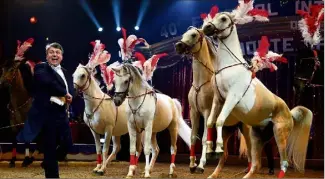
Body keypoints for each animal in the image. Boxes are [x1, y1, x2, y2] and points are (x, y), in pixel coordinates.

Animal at [202, 11, 312, 178]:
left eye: (224, 18)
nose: (206, 28)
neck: (229, 67)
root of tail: (290, 113)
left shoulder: (232, 98)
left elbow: (219, 121)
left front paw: (218, 147)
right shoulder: (218, 99)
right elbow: (210, 122)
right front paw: (209, 149)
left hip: (280, 135)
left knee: (284, 162)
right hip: (257, 137)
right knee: (256, 164)